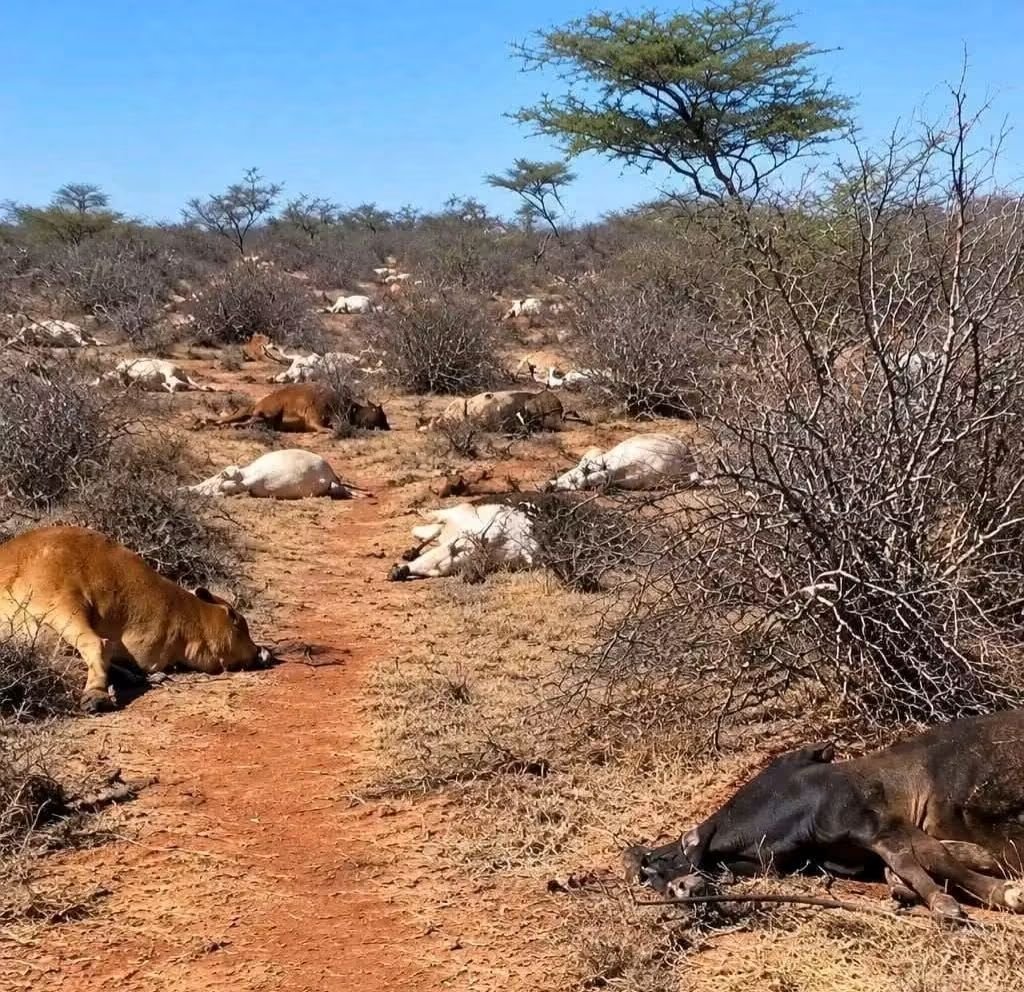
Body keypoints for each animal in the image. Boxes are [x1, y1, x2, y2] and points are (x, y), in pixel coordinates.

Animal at [188, 449, 367, 500]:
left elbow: (230, 487)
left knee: (339, 488)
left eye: (222, 474)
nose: (187, 489)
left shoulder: (250, 482)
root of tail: (331, 472)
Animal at [201, 383, 389, 433]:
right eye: (382, 415)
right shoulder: (315, 414)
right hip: (270, 411)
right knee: (252, 420)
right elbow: (322, 427)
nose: (388, 427)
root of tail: (257, 403)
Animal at [625, 710, 1024, 922]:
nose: (679, 891)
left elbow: (926, 856)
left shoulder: (868, 821)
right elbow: (914, 861)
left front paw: (987, 896)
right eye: (650, 882)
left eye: (666, 862)